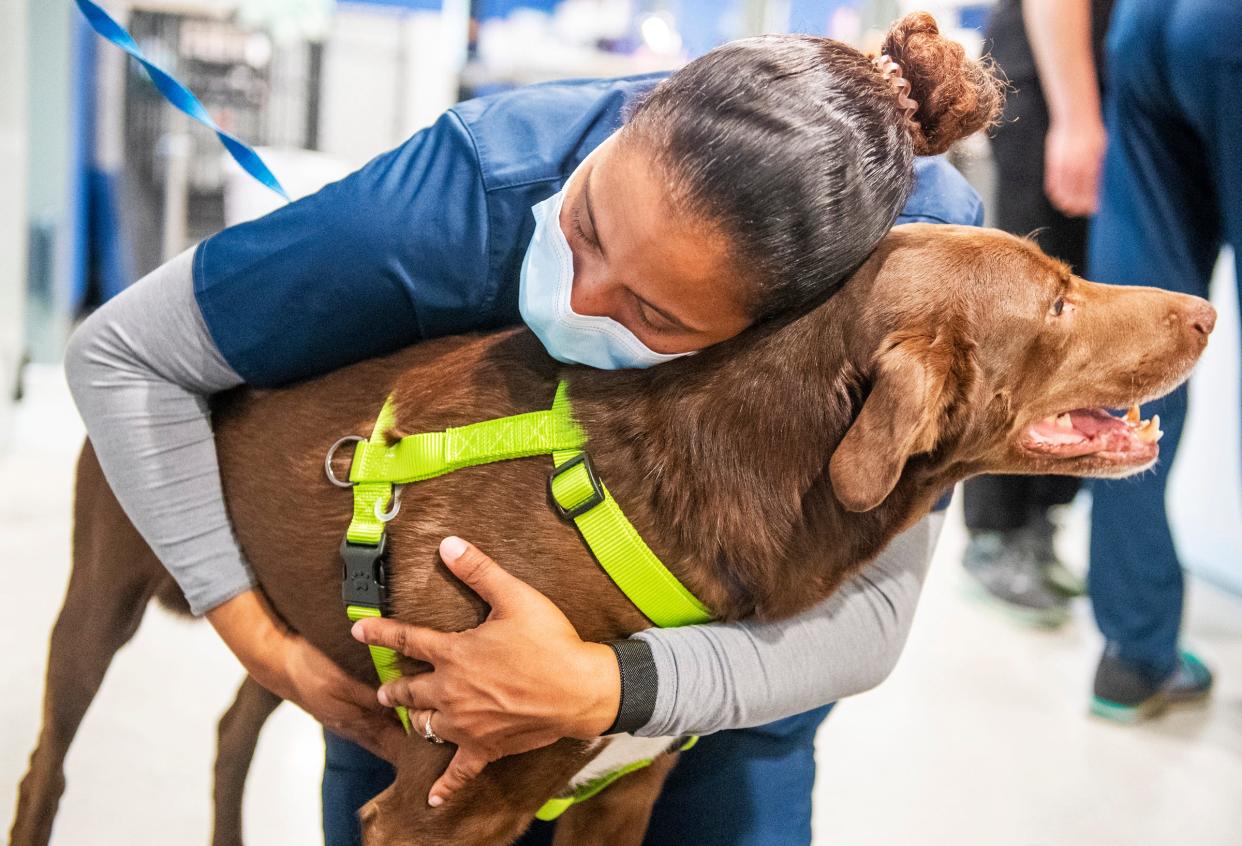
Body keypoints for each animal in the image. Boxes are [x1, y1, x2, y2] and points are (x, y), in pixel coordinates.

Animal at [9, 224, 1212, 844]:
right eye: (1056, 304)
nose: (1206, 312)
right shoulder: (433, 814)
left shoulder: (622, 799)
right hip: (101, 593)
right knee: (48, 765)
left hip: (304, 630)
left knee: (231, 732)